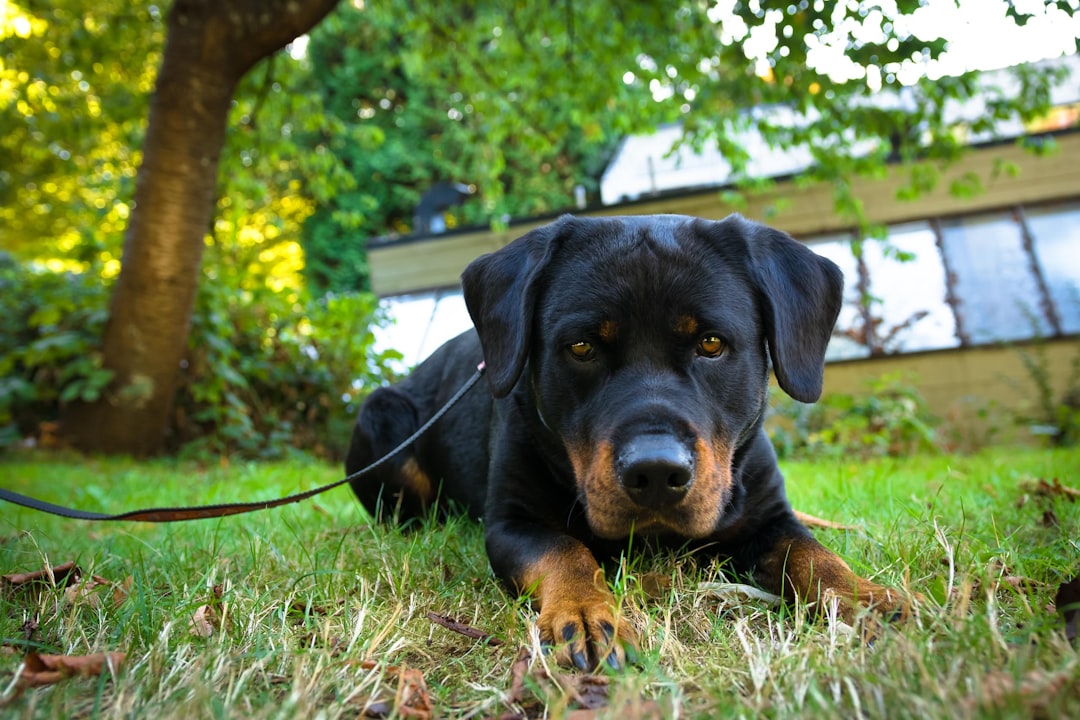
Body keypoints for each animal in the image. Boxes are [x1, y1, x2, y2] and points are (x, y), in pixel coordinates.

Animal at [349, 212, 915, 669]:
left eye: (712, 343)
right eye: (581, 347)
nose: (657, 472)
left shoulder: (770, 515)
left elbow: (812, 554)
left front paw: (864, 596)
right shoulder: (512, 522)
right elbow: (565, 549)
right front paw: (584, 612)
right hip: (382, 415)